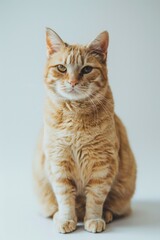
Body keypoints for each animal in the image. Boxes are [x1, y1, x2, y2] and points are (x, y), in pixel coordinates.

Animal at [32, 27, 136, 232]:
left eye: (87, 69)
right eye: (62, 68)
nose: (72, 82)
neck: (75, 116)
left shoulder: (102, 165)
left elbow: (96, 198)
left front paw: (94, 219)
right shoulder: (59, 163)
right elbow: (65, 198)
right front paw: (66, 220)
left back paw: (106, 215)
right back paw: (58, 215)